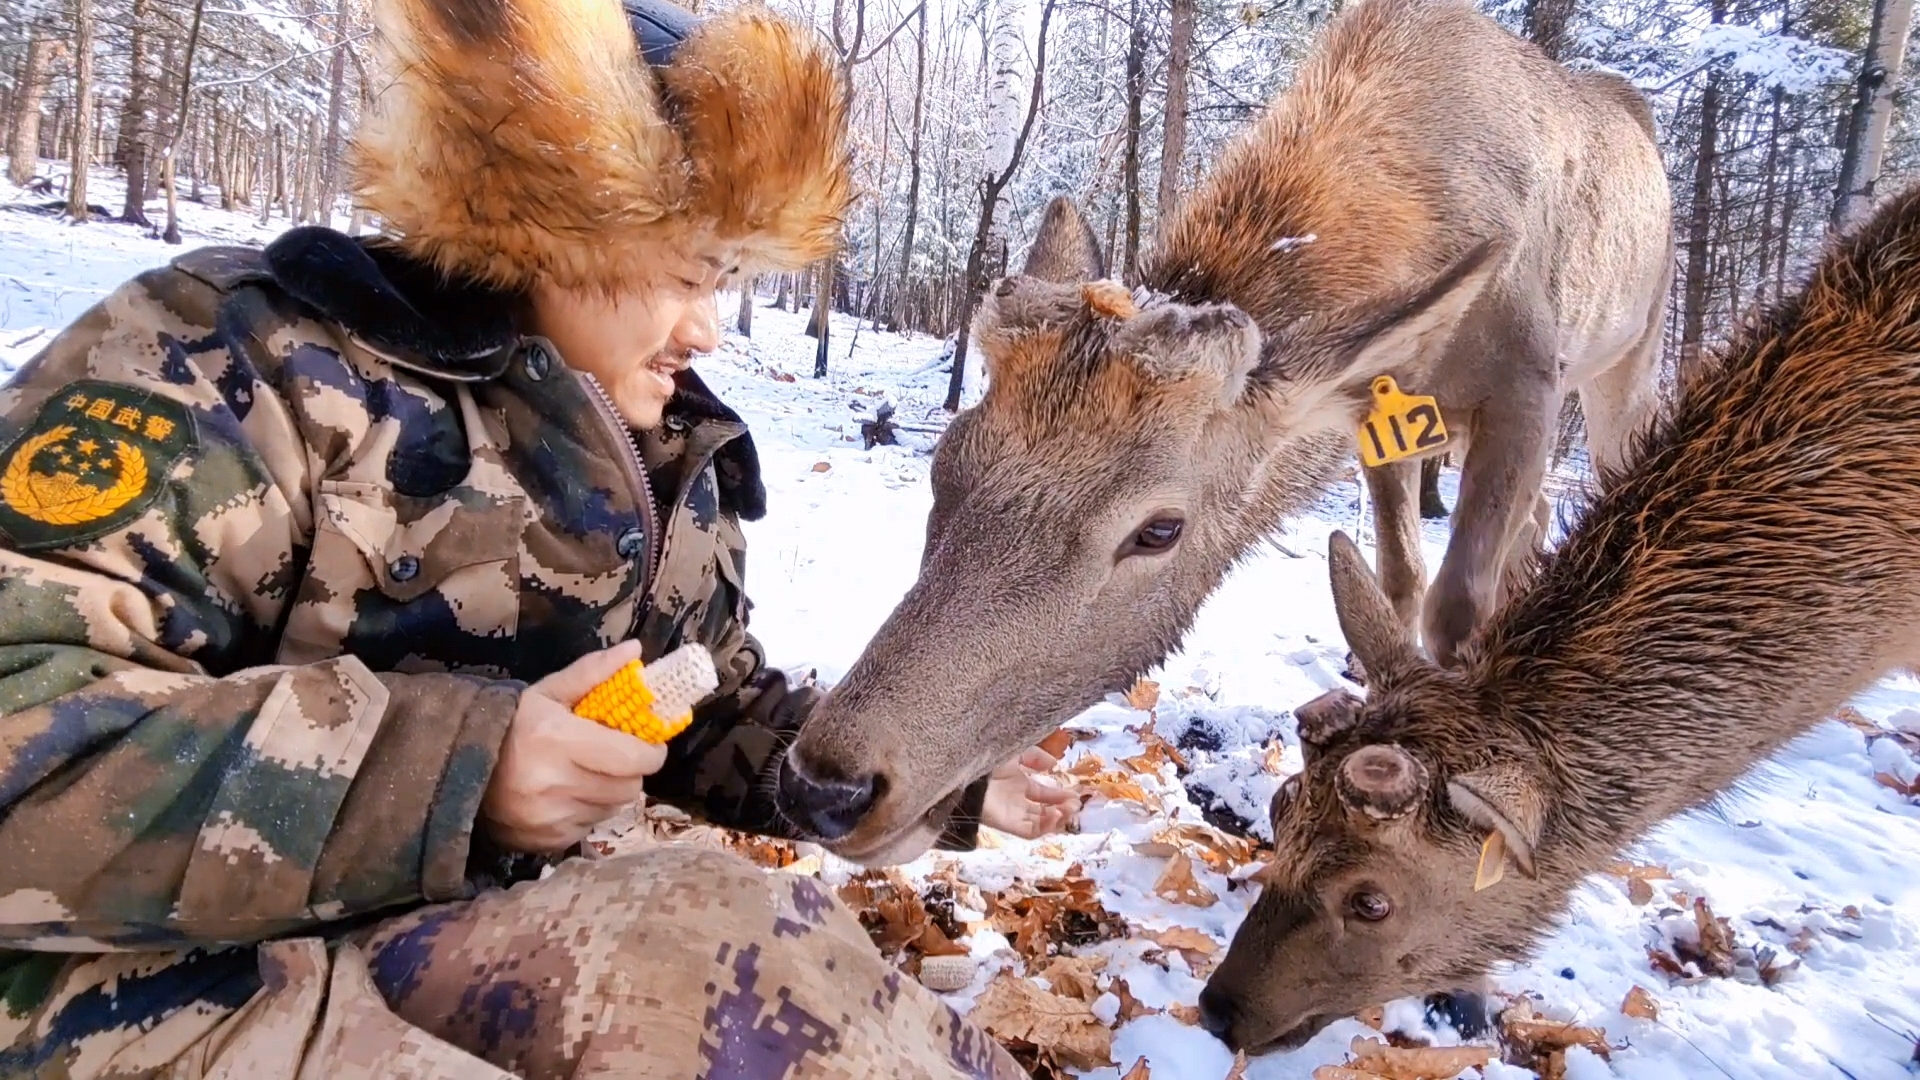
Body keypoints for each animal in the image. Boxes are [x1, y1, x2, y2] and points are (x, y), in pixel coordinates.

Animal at [771, 0, 1674, 864]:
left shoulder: (1530, 385)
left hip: (1627, 364)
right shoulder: (1373, 422)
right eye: (946, 464)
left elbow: (1456, 608)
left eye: (1160, 529)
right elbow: (1400, 576)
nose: (827, 783)